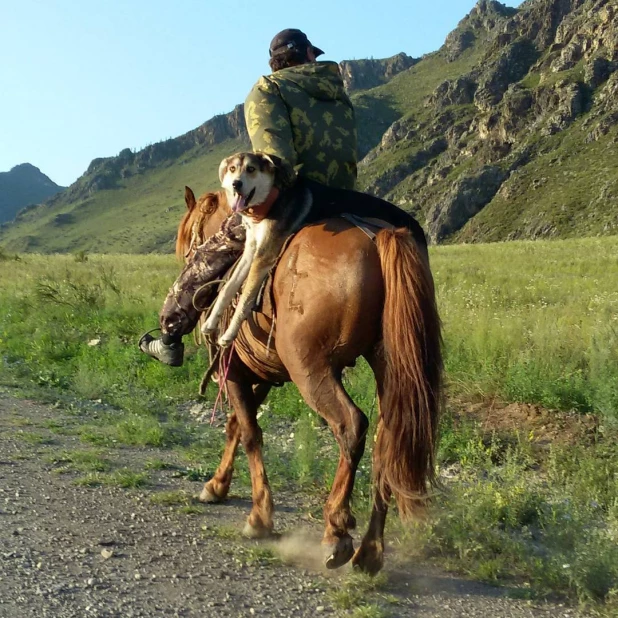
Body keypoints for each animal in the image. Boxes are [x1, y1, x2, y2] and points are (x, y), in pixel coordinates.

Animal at [176, 184, 440, 572]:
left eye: (188, 243)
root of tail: (379, 237)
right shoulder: (263, 372)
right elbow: (236, 425)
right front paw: (217, 484)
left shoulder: (234, 367)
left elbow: (250, 432)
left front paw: (259, 517)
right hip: (389, 368)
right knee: (387, 442)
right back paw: (369, 552)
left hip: (311, 372)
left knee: (351, 426)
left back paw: (337, 531)